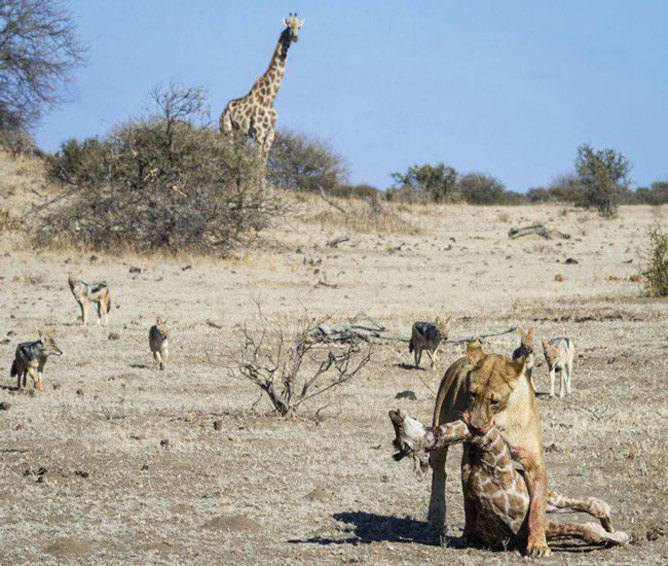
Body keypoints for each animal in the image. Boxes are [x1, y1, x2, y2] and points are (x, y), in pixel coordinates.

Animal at [219, 13, 306, 163]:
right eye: (289, 26)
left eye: (299, 27)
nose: (295, 37)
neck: (271, 97)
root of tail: (222, 112)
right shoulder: (259, 132)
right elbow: (257, 161)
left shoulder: (270, 134)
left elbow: (263, 164)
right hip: (227, 130)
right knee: (228, 152)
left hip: (240, 135)